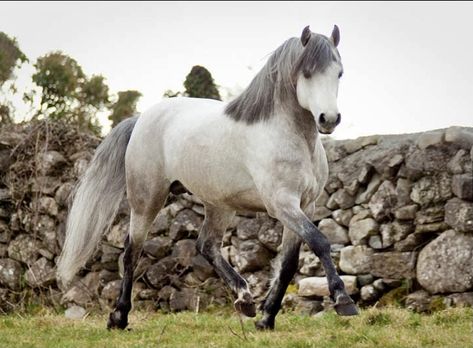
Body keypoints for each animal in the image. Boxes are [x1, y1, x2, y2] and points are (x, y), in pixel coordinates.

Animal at [56, 25, 358, 332]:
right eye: (307, 73)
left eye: (339, 73)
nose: (329, 119)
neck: (288, 137)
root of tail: (141, 119)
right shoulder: (282, 204)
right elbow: (320, 242)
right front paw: (343, 300)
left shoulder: (304, 205)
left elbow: (288, 264)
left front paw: (266, 319)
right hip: (147, 200)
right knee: (132, 251)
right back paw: (119, 317)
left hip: (219, 205)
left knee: (206, 245)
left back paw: (245, 300)